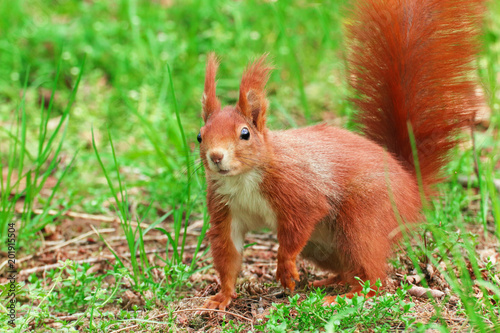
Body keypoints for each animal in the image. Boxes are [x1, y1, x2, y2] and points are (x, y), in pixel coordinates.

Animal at [196, 0, 484, 308]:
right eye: (200, 136)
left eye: (245, 134)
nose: (216, 156)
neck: (244, 178)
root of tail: (410, 184)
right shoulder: (225, 209)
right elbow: (228, 254)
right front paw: (222, 297)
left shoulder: (297, 190)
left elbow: (299, 225)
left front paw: (285, 267)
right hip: (322, 245)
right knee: (351, 269)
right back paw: (332, 282)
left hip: (364, 217)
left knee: (375, 277)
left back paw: (346, 296)